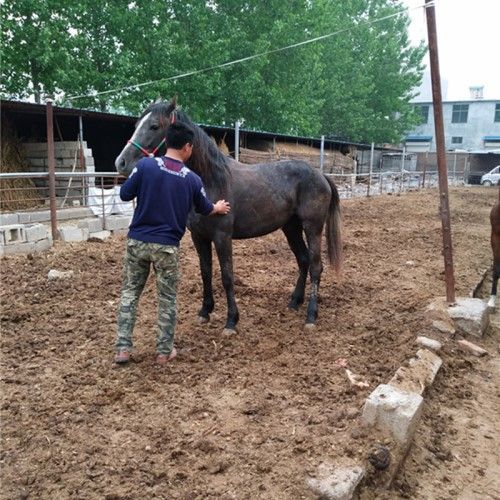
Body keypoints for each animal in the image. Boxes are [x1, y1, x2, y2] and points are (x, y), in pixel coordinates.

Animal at [115, 97, 342, 332]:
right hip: (291, 227)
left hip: (312, 227)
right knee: (303, 260)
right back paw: (294, 302)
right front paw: (205, 311)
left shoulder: (222, 237)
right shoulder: (199, 237)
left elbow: (227, 276)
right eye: (136, 125)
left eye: (154, 126)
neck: (211, 181)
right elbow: (206, 272)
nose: (120, 163)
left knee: (315, 266)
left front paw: (231, 320)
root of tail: (320, 175)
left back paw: (311, 316)